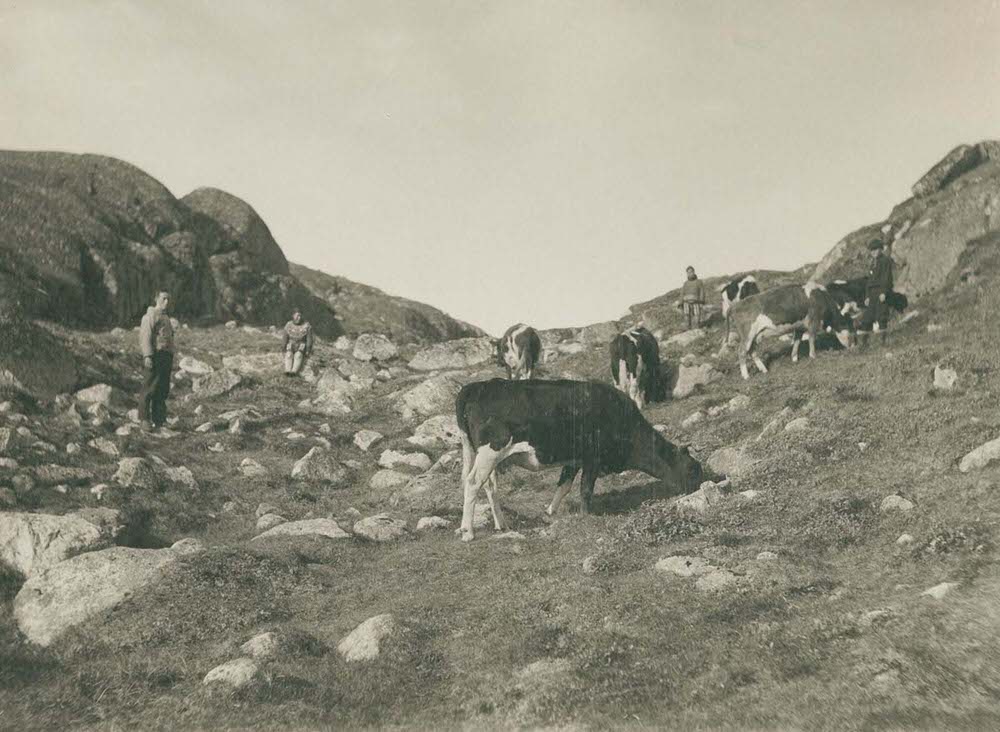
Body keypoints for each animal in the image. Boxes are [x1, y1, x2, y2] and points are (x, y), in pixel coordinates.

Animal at [456, 380, 704, 540]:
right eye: (693, 469)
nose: (700, 489)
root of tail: (475, 387)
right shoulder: (592, 458)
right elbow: (585, 489)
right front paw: (586, 515)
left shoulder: (573, 460)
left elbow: (564, 485)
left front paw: (550, 513)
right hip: (491, 450)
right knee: (473, 482)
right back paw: (468, 532)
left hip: (480, 454)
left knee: (488, 485)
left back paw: (502, 525)